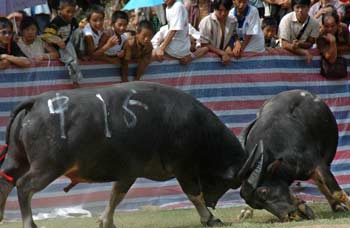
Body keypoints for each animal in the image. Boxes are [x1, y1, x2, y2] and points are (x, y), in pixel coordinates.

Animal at [0, 82, 260, 228]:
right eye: (229, 182)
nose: (213, 202)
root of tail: (36, 102)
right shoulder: (182, 168)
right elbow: (193, 194)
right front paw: (210, 218)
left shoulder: (128, 172)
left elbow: (115, 195)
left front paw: (105, 221)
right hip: (47, 167)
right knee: (23, 186)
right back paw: (29, 223)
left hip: (16, 160)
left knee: (6, 181)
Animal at [239, 89, 350, 221]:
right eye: (258, 205)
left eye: (264, 191)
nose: (288, 216)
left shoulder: (317, 163)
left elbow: (337, 193)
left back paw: (336, 206)